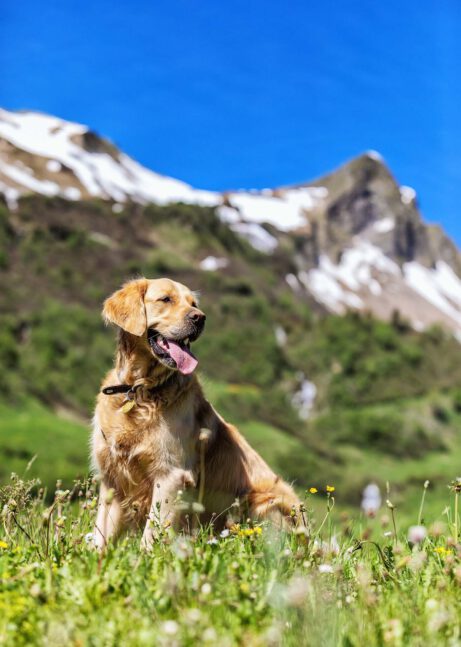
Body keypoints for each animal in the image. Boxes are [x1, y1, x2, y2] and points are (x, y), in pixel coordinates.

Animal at [91, 276, 300, 548]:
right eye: (166, 299)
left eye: (194, 304)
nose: (200, 318)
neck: (140, 391)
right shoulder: (112, 480)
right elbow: (100, 536)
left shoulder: (171, 475)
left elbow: (151, 533)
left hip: (264, 504)